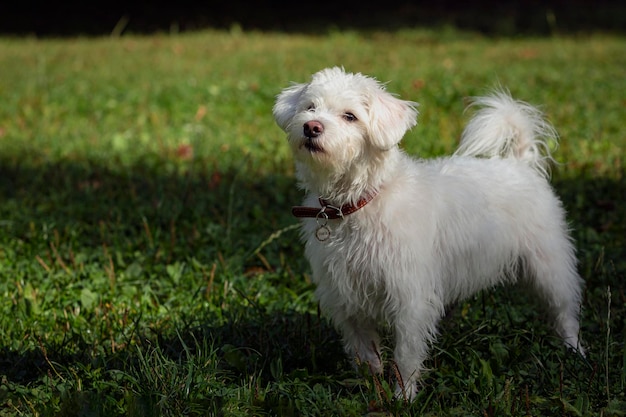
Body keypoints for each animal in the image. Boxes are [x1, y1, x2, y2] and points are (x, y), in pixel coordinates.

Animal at [270, 67, 584, 400]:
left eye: (350, 116)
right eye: (310, 107)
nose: (311, 127)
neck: (357, 203)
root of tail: (520, 163)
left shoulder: (410, 297)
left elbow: (406, 354)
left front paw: (403, 397)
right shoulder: (346, 296)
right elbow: (364, 350)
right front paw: (372, 386)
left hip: (550, 267)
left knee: (566, 312)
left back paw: (575, 352)